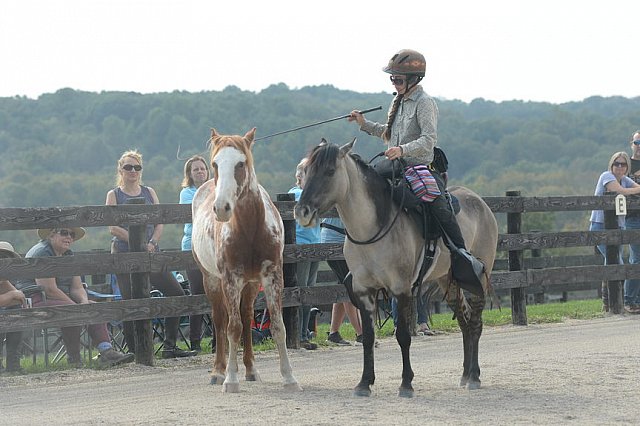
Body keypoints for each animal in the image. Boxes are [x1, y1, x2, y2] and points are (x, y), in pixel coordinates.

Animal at [191, 128, 302, 394]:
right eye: (215, 164)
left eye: (241, 163)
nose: (221, 208)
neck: (250, 229)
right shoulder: (230, 279)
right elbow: (233, 329)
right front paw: (230, 380)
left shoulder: (272, 277)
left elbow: (277, 327)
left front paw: (289, 378)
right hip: (212, 281)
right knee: (221, 321)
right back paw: (218, 371)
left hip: (251, 285)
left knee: (246, 314)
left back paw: (251, 369)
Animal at [296, 139, 500, 396]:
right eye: (306, 171)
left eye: (330, 171)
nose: (302, 211)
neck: (374, 228)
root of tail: (481, 203)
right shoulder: (364, 291)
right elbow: (368, 337)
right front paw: (364, 383)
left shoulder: (401, 288)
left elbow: (403, 335)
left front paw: (406, 383)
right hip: (449, 281)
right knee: (464, 321)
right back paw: (464, 375)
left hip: (479, 279)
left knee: (475, 323)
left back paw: (474, 376)